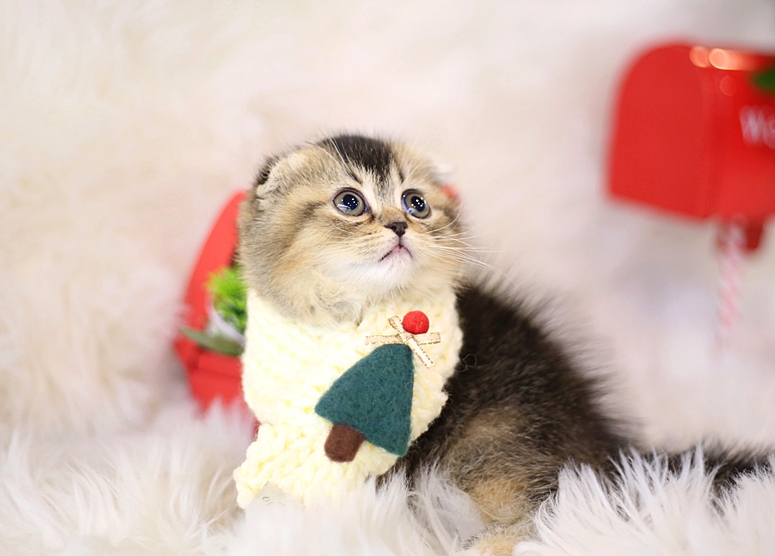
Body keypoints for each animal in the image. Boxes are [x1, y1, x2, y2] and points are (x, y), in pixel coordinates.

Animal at [236, 133, 768, 555]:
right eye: (349, 201)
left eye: (415, 202)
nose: (400, 225)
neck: (356, 315)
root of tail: (605, 444)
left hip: (496, 439)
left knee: (561, 509)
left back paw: (485, 546)